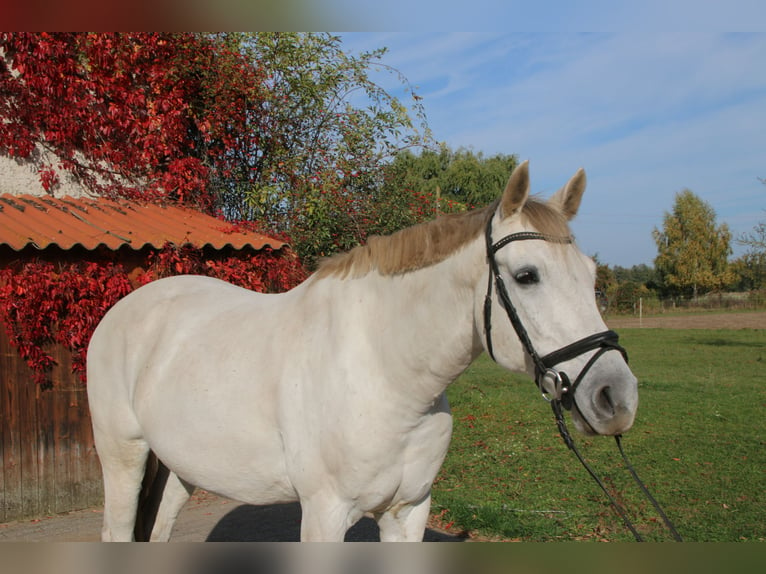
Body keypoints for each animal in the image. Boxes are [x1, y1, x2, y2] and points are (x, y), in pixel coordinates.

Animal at [87, 160, 640, 544]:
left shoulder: (408, 512)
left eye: (592, 276)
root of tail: (123, 312)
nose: (616, 396)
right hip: (123, 456)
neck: (385, 375)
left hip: (180, 467)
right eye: (527, 276)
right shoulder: (324, 515)